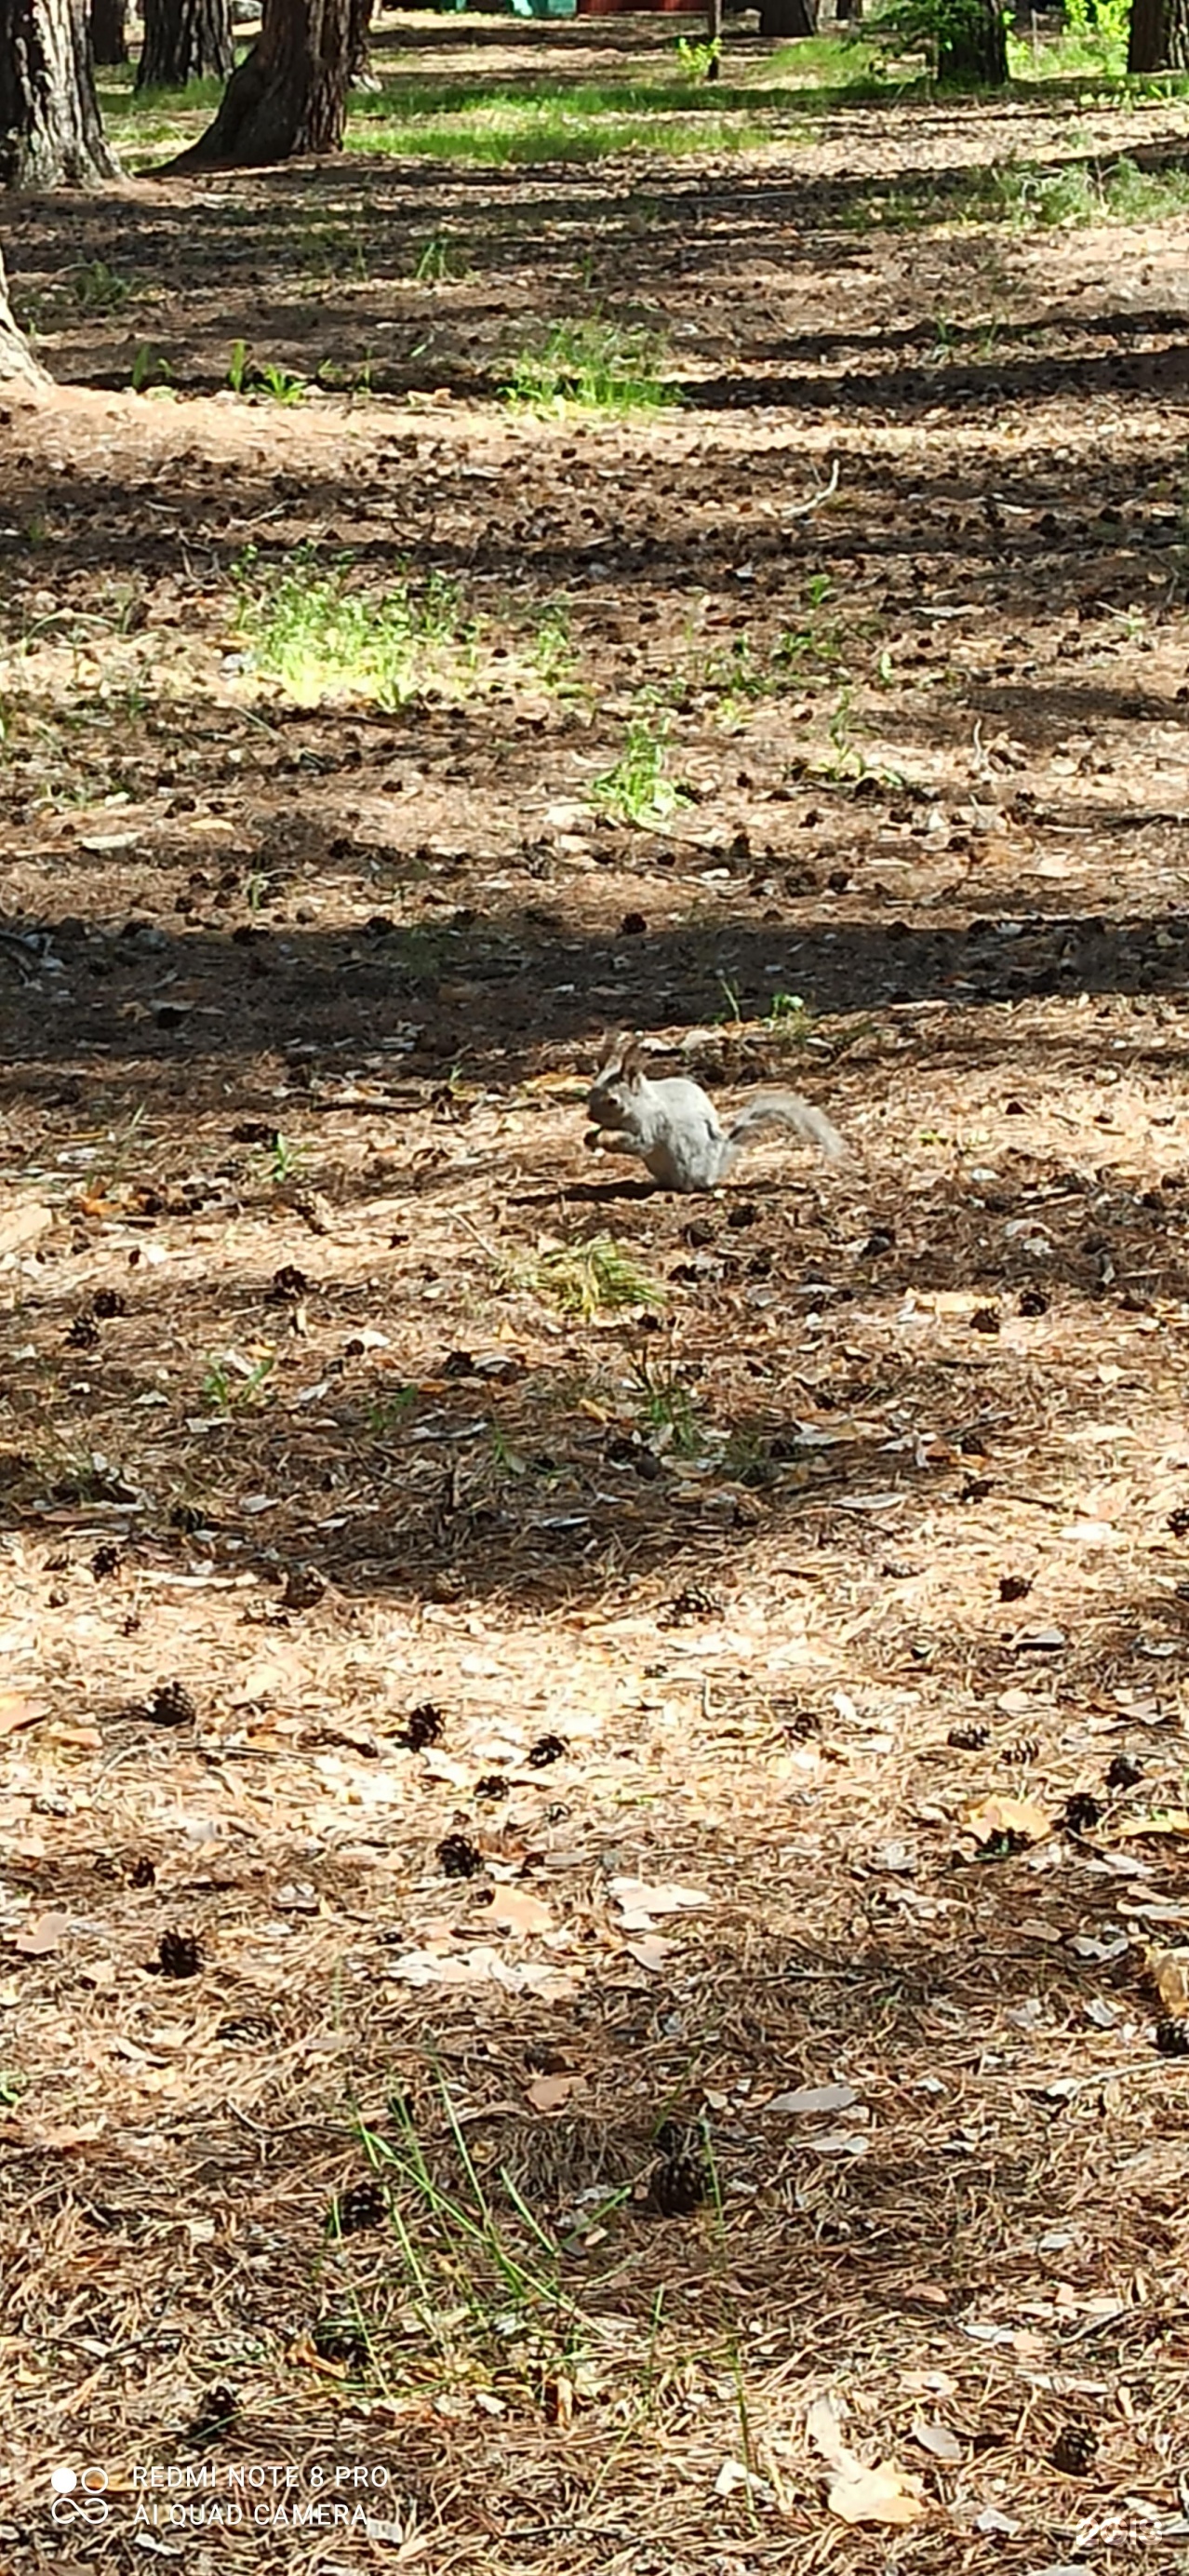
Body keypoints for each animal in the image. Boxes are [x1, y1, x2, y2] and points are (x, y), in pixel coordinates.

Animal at [581, 1030, 844, 1189]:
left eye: (613, 1101)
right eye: (588, 1093)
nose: (589, 1116)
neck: (641, 1103)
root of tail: (715, 1169)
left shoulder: (651, 1124)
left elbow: (639, 1143)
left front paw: (601, 1138)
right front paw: (589, 1137)